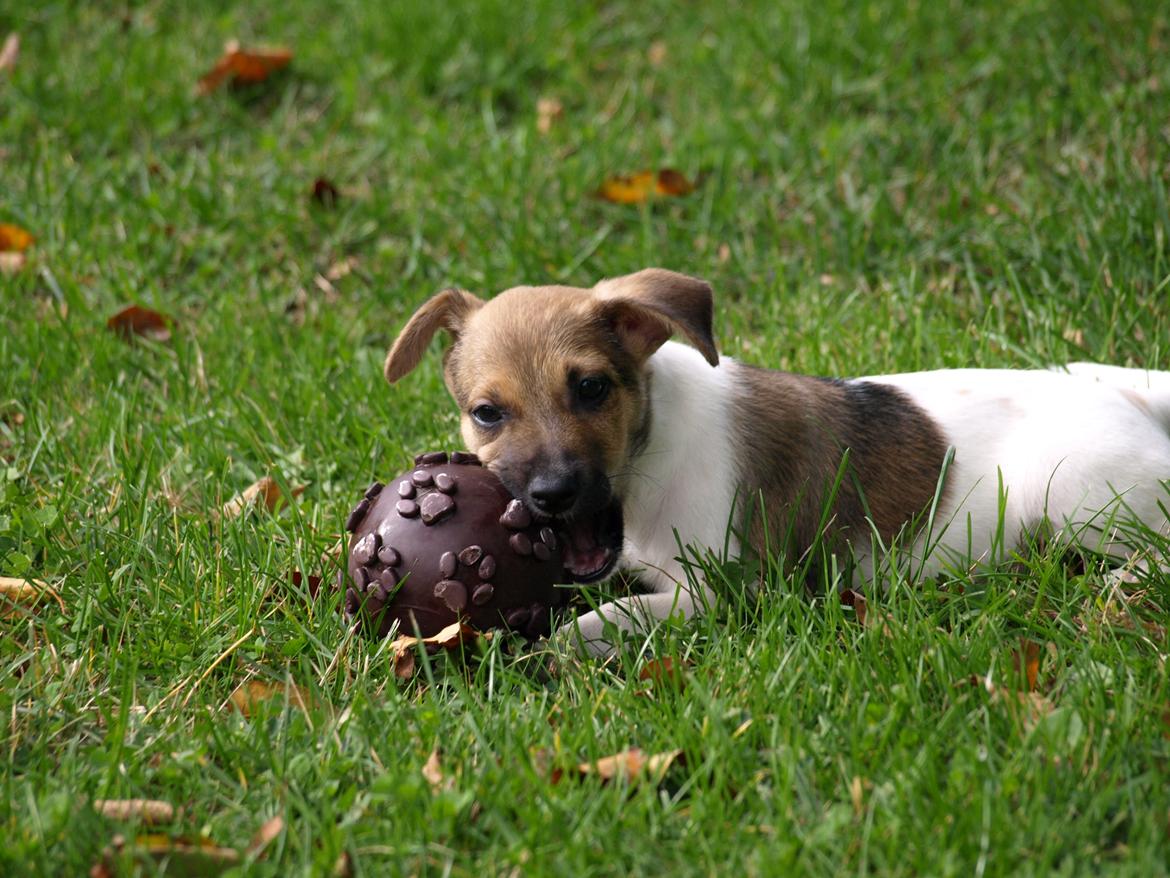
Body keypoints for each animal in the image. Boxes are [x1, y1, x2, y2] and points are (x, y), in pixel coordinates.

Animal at [383, 266, 1170, 655]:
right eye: (487, 413)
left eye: (591, 389)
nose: (551, 493)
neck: (651, 458)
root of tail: (1129, 398)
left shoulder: (723, 590)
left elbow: (612, 614)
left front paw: (554, 645)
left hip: (1076, 498)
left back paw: (1116, 586)